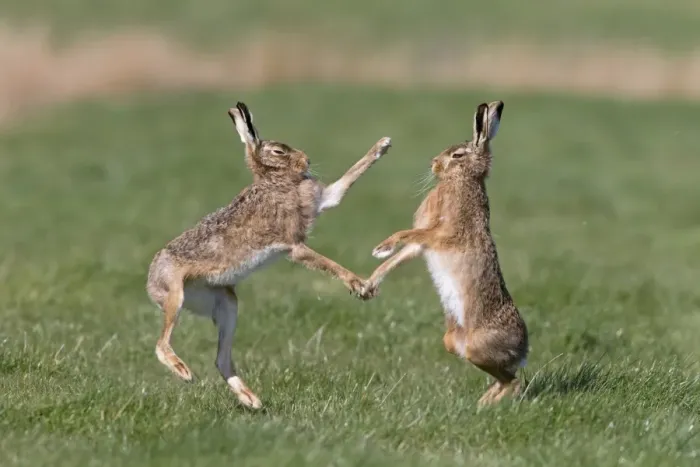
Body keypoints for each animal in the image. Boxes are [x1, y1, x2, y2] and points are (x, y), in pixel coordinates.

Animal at [146, 102, 392, 409]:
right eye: (278, 151)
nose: (307, 160)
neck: (274, 181)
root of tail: (149, 282)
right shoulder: (294, 246)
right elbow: (327, 264)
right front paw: (361, 286)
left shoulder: (322, 201)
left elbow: (345, 181)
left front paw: (382, 145)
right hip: (175, 295)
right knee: (161, 344)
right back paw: (185, 372)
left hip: (226, 303)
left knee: (221, 360)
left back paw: (251, 400)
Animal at [361, 101, 528, 406]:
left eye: (457, 155)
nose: (434, 164)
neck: (463, 179)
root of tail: (524, 349)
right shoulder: (423, 245)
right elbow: (399, 257)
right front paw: (369, 283)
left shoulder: (443, 234)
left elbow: (408, 234)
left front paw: (381, 247)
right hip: (453, 343)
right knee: (506, 378)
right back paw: (484, 402)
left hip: (478, 347)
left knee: (514, 381)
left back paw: (486, 405)